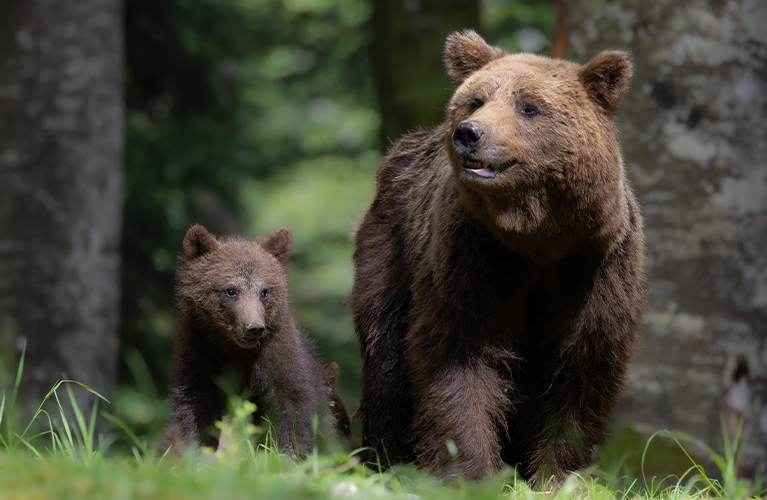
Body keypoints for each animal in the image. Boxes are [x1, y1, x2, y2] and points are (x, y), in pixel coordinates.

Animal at [354, 31, 648, 484]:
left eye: (529, 106)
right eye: (475, 99)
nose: (469, 133)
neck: (538, 237)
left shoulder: (594, 266)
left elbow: (580, 365)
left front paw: (558, 473)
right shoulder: (476, 256)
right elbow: (461, 353)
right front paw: (469, 471)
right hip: (391, 247)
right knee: (384, 351)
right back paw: (386, 459)